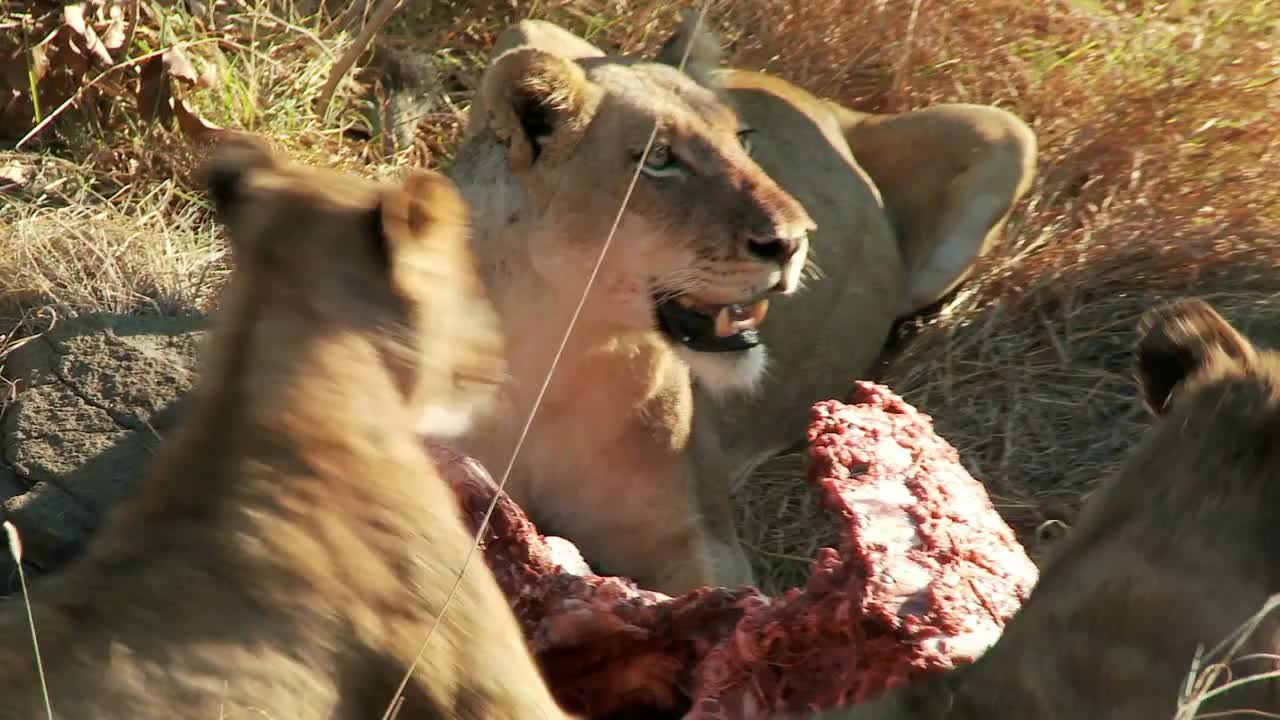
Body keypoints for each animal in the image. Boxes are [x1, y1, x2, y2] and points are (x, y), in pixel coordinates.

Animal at [445, 16, 1034, 594]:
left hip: (1008, 135)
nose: (794, 241)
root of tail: (828, 105)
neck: (554, 346)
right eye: (660, 159)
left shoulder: (699, 537)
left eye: (743, 142)